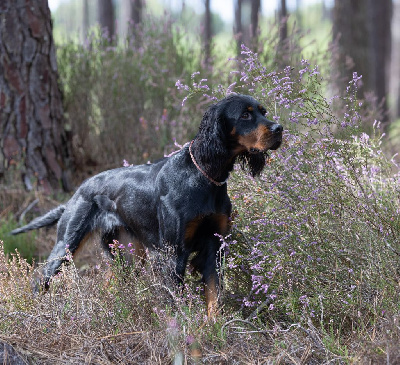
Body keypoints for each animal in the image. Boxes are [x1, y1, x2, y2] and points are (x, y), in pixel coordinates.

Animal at [11, 93, 282, 312]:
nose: (279, 128)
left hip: (126, 253)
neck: (204, 175)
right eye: (245, 115)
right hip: (66, 245)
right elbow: (176, 301)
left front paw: (213, 328)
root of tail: (80, 190)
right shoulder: (173, 253)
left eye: (264, 111)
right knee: (40, 279)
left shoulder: (214, 247)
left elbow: (214, 297)